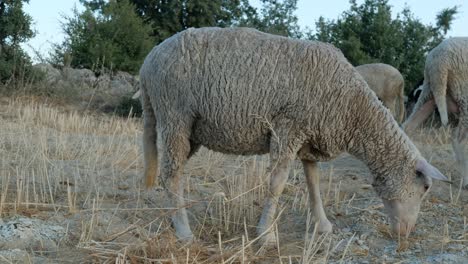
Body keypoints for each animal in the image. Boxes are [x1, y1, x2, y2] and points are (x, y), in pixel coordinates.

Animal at [141, 26, 448, 243]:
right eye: (425, 187)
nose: (405, 233)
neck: (352, 109)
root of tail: (148, 62)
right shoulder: (288, 127)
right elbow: (277, 183)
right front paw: (265, 235)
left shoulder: (309, 137)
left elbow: (314, 183)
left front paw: (322, 225)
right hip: (175, 114)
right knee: (171, 173)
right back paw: (183, 231)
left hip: (188, 128)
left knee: (170, 171)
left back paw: (169, 217)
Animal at [402, 37, 468, 188]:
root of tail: (439, 59)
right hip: (463, 94)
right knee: (459, 141)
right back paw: (466, 181)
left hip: (429, 93)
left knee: (407, 126)